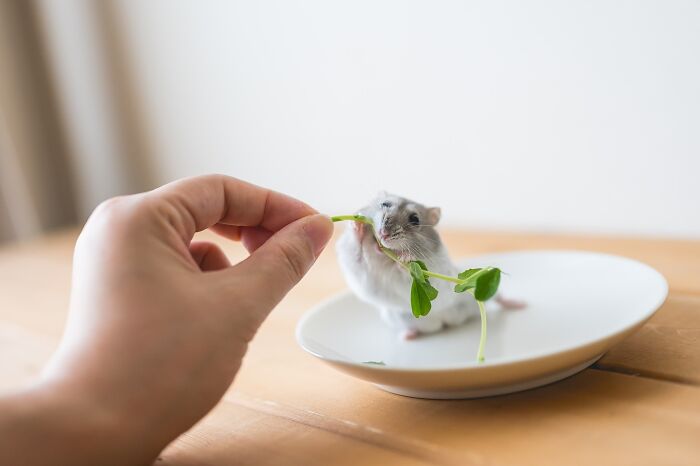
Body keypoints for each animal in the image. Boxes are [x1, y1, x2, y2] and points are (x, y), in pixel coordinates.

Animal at [336, 192, 522, 340]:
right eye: (385, 204)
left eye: (415, 219)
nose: (384, 233)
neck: (387, 255)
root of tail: (446, 322)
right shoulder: (356, 265)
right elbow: (358, 255)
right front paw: (357, 225)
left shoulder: (435, 267)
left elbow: (412, 269)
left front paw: (406, 258)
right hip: (399, 318)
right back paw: (408, 336)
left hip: (480, 289)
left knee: (498, 297)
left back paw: (519, 304)